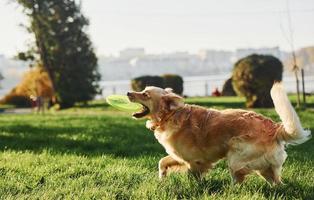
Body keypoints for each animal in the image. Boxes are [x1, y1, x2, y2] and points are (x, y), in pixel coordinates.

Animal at [126, 82, 310, 184]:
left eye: (145, 94)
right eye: (143, 90)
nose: (128, 92)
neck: (170, 115)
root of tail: (275, 127)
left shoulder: (195, 161)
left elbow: (194, 177)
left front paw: (195, 188)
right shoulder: (180, 157)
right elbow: (162, 162)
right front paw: (162, 179)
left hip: (236, 156)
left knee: (239, 179)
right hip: (263, 167)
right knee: (277, 183)